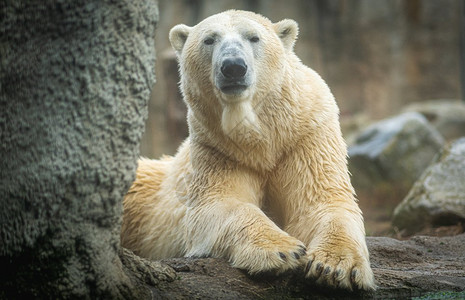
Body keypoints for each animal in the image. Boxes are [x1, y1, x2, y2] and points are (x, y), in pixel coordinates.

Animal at [121, 9, 376, 290]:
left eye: (254, 37)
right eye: (209, 40)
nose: (233, 67)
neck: (261, 137)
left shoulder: (306, 135)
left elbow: (322, 202)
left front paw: (337, 267)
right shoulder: (219, 148)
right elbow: (219, 204)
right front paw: (282, 250)